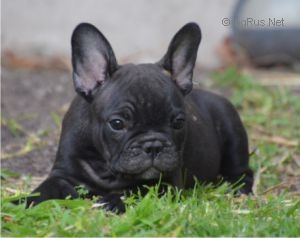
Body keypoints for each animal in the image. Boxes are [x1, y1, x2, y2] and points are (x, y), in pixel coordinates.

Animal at [25, 21, 253, 212]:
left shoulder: (166, 184)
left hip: (232, 130)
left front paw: (111, 201)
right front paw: (23, 203)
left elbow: (137, 191)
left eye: (179, 123)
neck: (106, 167)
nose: (153, 145)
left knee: (243, 172)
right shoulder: (62, 173)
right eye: (117, 124)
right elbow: (45, 189)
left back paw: (239, 191)